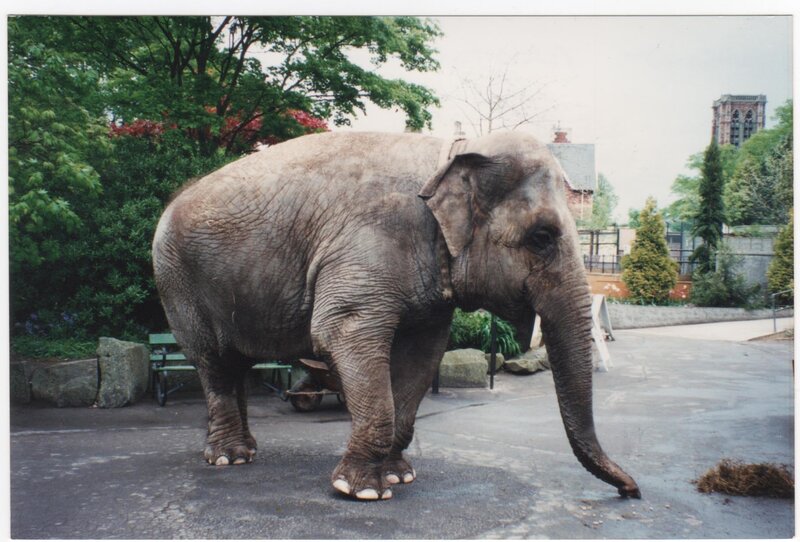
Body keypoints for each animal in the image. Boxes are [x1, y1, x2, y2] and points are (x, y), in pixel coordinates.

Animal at [152, 130, 640, 501]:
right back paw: (229, 458)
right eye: (541, 237)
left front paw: (399, 476)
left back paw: (246, 450)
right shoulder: (366, 250)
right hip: (177, 282)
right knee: (214, 361)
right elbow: (338, 334)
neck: (452, 151)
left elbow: (421, 357)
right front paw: (362, 491)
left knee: (236, 363)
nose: (631, 491)